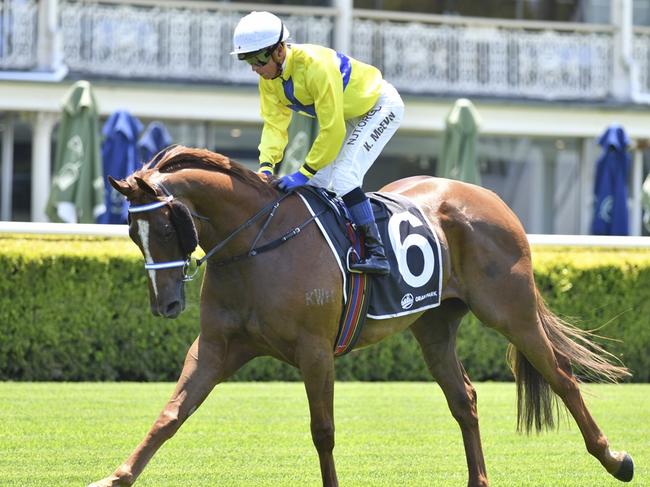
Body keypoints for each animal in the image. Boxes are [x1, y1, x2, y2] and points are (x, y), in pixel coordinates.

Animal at [88, 146, 632, 487]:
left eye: (167, 226)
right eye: (132, 232)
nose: (164, 304)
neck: (253, 244)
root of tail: (491, 197)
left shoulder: (314, 351)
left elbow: (323, 431)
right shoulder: (217, 348)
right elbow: (171, 415)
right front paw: (116, 476)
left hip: (510, 310)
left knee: (561, 377)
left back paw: (614, 459)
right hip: (434, 326)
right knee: (465, 398)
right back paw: (479, 478)